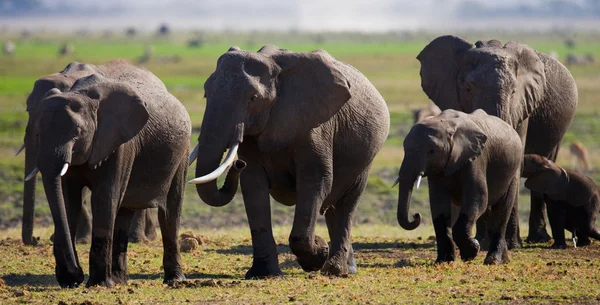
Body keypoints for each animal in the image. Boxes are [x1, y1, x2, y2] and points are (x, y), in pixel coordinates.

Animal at [190, 45, 392, 278]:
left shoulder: (314, 124)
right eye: (206, 93)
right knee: (334, 208)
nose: (238, 164)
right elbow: (253, 185)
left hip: (366, 156)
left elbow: (315, 181)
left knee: (346, 203)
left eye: (253, 98)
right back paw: (345, 268)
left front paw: (318, 254)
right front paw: (264, 274)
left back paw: (335, 271)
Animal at [398, 108, 520, 264]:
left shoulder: (476, 158)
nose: (416, 215)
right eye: (404, 149)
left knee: (501, 211)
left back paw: (493, 261)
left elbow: (478, 197)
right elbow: (438, 204)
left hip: (513, 170)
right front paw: (444, 261)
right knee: (488, 213)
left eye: (431, 151)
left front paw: (471, 251)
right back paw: (503, 259)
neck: (445, 124)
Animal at [418, 35, 576, 245]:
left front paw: (510, 244)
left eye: (513, 91)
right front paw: (483, 241)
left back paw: (538, 239)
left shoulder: (522, 107)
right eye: (468, 89)